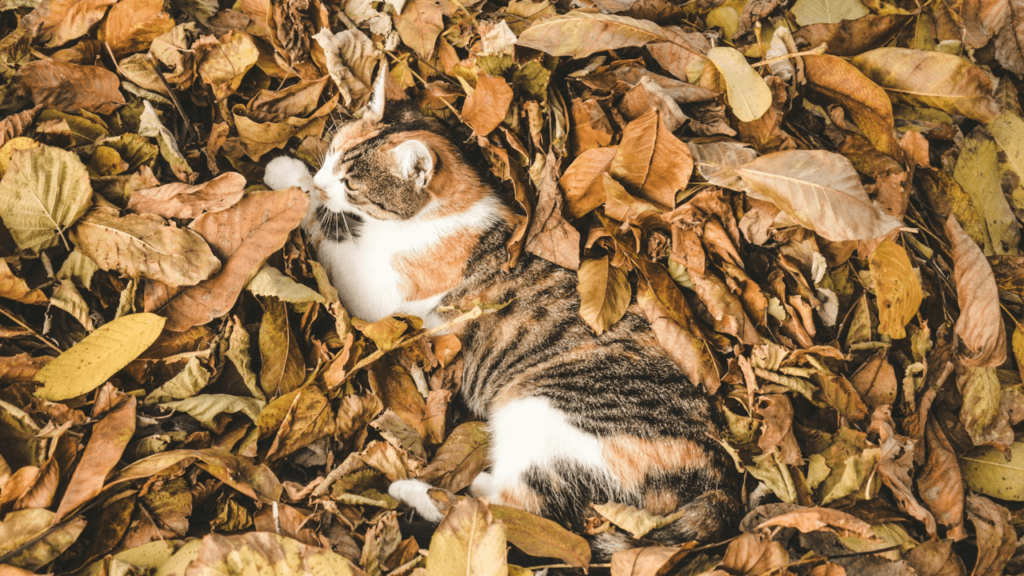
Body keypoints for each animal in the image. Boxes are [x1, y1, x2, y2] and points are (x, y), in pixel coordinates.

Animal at [264, 67, 741, 557]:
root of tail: (718, 474)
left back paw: (416, 492)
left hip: (549, 414)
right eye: (331, 152)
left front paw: (292, 185)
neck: (442, 211)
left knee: (514, 512)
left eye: (353, 185)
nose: (323, 180)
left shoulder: (378, 293)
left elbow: (329, 238)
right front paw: (299, 178)